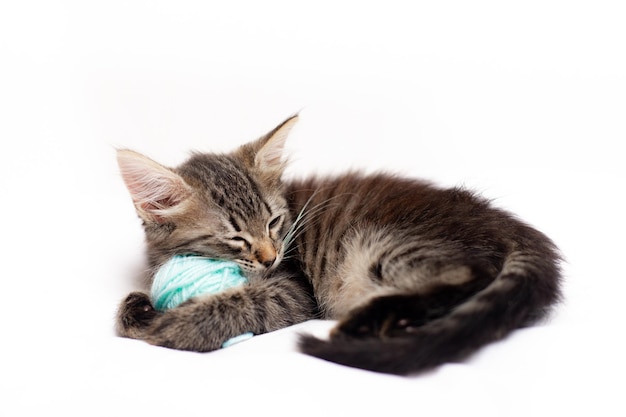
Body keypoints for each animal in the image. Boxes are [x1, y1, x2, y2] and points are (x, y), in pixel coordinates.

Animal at [114, 114, 560, 374]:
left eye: (274, 223)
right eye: (236, 238)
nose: (271, 257)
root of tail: (506, 222)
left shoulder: (294, 288)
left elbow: (243, 302)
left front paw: (176, 325)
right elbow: (124, 308)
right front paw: (138, 309)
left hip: (383, 245)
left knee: (473, 274)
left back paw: (365, 320)